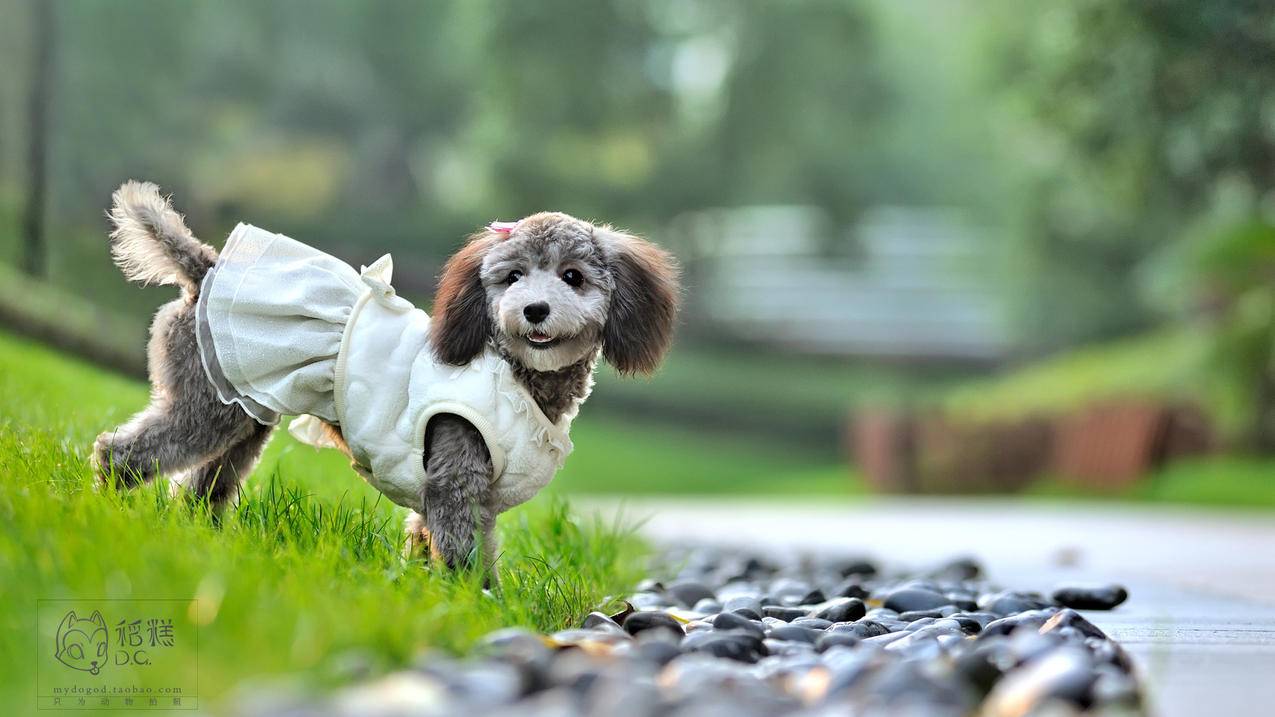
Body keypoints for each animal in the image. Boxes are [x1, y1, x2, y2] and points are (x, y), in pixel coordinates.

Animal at [92, 181, 678, 571]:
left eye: (572, 277)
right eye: (512, 277)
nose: (534, 309)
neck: (514, 373)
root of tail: (205, 267)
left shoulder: (470, 495)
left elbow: (440, 543)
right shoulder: (455, 472)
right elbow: (462, 555)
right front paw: (471, 603)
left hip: (244, 415)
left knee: (205, 486)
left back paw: (202, 539)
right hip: (207, 408)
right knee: (126, 453)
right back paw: (106, 507)